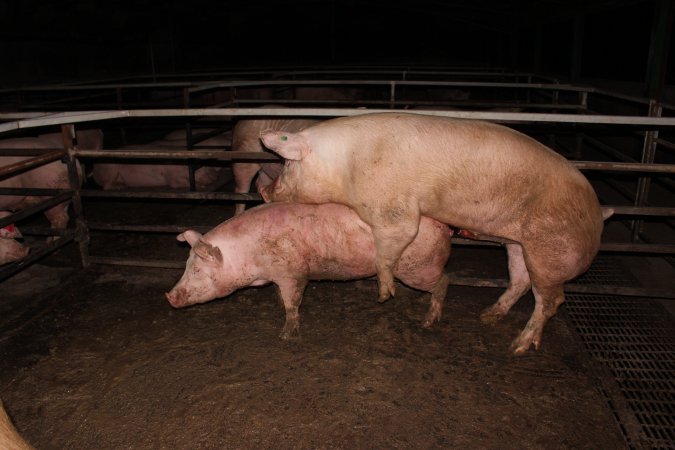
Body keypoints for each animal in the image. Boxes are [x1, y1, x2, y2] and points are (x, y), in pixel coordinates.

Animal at [91, 128, 231, 190]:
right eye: (200, 168)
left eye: (207, 166)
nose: (214, 177)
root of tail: (95, 167)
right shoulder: (172, 178)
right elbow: (175, 184)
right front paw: (201, 185)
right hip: (110, 171)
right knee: (107, 186)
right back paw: (121, 186)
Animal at [164, 202, 452, 340]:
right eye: (186, 265)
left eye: (197, 270)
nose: (169, 296)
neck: (248, 254)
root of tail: (444, 226)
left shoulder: (292, 272)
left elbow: (292, 303)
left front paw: (285, 336)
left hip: (419, 266)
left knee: (444, 281)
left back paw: (428, 323)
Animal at [258, 112, 612, 356]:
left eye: (287, 165)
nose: (263, 192)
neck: (344, 167)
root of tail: (599, 214)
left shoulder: (394, 210)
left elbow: (388, 249)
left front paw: (385, 294)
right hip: (518, 243)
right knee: (520, 281)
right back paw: (488, 317)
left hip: (550, 252)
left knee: (551, 300)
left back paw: (518, 347)